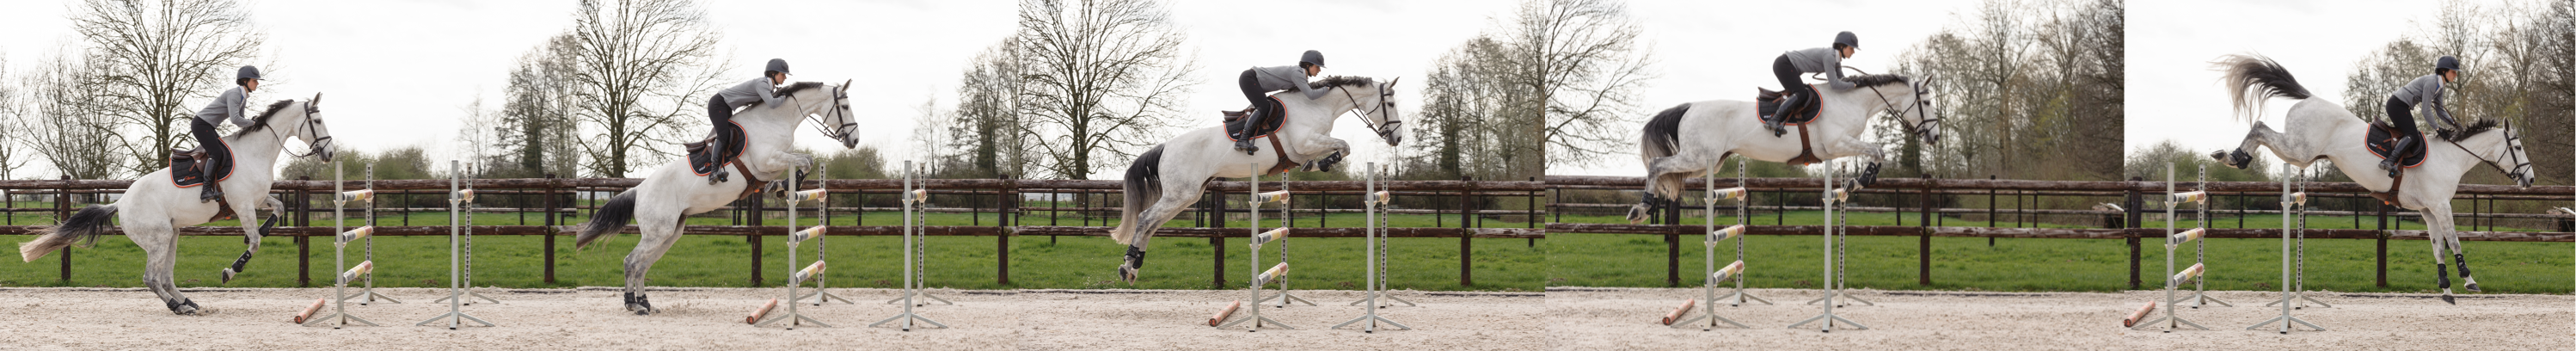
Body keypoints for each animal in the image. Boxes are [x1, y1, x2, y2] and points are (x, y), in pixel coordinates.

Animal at [16, 94, 337, 315]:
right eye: (317, 121)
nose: (331, 153)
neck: (255, 152)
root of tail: (121, 203)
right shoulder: (244, 205)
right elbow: (256, 243)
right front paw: (230, 271)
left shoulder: (257, 200)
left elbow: (279, 211)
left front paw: (260, 232)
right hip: (159, 238)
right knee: (151, 279)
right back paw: (178, 307)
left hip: (173, 235)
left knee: (166, 278)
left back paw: (188, 302)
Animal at [569, 81, 860, 313]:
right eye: (845, 106)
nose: (854, 141)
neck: (775, 119)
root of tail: (638, 190)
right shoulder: (768, 160)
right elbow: (805, 160)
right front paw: (785, 184)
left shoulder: (773, 162)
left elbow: (804, 161)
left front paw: (781, 186)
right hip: (656, 233)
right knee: (631, 262)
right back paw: (633, 304)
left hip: (669, 234)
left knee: (642, 267)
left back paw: (646, 303)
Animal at [1097, 76, 1401, 282]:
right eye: (1391, 103)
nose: (1396, 138)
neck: (1316, 105)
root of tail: (1164, 147)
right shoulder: (1305, 142)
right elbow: (1344, 145)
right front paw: (1325, 162)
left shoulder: (1307, 146)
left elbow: (1335, 151)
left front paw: (1317, 164)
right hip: (1179, 194)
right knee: (1146, 219)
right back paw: (1127, 266)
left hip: (1188, 195)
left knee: (1152, 224)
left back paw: (1134, 268)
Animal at [1617, 73, 1936, 222]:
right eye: (1928, 102)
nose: (1933, 137)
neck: (1851, 101)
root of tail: (1689, 107)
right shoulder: (1837, 143)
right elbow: (1878, 150)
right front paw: (1860, 181)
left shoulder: (1836, 149)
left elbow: (1877, 152)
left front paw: (1857, 182)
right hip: (1697, 158)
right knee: (1657, 164)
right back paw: (1641, 208)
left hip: (1706, 161)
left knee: (1663, 168)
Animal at [2205, 54, 2524, 305]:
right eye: (2519, 148)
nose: (2529, 179)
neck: (2451, 157)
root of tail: (2310, 98)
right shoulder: (2441, 206)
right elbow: (2455, 241)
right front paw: (2469, 280)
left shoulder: (2428, 210)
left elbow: (2438, 246)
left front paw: (2446, 289)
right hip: (2299, 150)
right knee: (2259, 126)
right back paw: (2232, 157)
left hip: (2301, 155)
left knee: (2260, 128)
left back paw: (2232, 156)